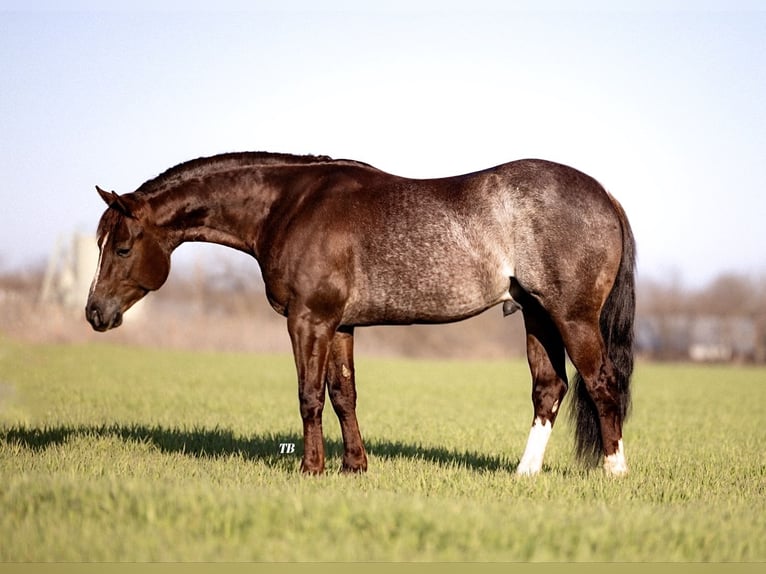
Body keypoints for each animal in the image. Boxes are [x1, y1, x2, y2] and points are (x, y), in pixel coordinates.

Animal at [84, 152, 640, 476]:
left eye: (123, 247)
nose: (94, 312)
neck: (290, 206)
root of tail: (605, 195)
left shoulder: (308, 320)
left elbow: (309, 395)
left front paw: (311, 469)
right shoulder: (340, 325)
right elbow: (343, 395)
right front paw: (355, 466)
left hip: (572, 317)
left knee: (601, 383)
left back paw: (615, 472)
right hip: (536, 315)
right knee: (550, 388)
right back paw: (524, 474)